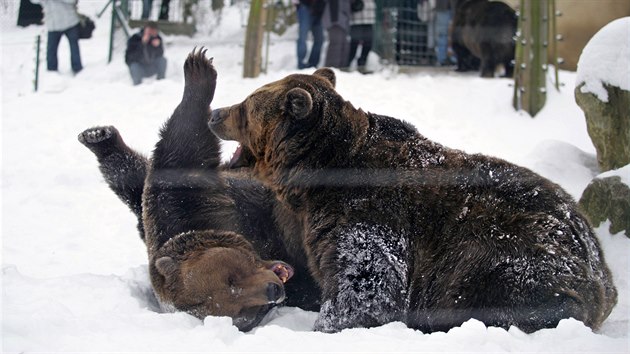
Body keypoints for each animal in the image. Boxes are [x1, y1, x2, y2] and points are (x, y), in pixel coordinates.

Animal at [80, 50, 320, 332]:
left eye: (232, 275)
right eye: (243, 308)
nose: (273, 290)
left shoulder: (180, 207)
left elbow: (179, 152)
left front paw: (197, 69)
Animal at [210, 68, 620, 334]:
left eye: (245, 105)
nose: (214, 114)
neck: (317, 175)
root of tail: (601, 268)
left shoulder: (368, 213)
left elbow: (368, 286)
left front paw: (333, 323)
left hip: (501, 257)